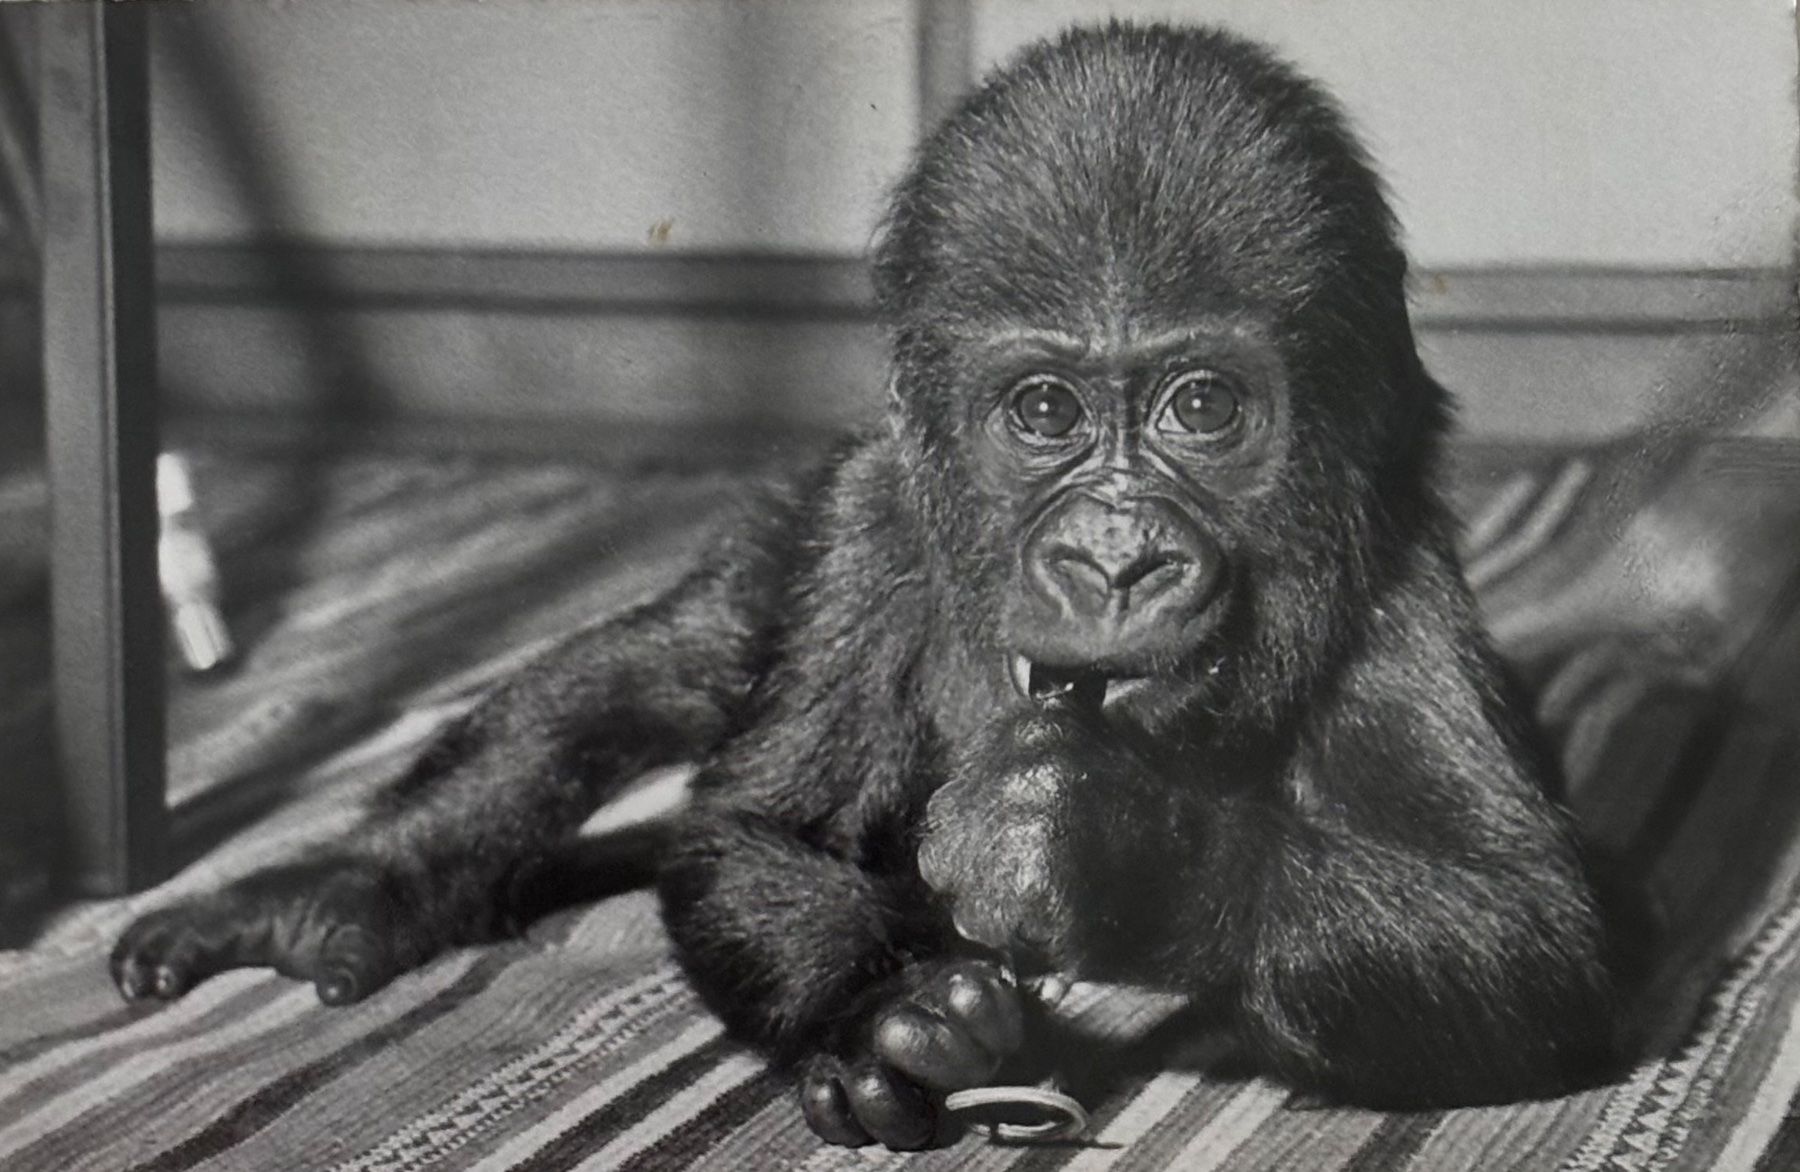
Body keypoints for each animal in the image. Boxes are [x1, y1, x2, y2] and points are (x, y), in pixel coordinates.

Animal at [112, 22, 1625, 1151]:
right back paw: (354, 883)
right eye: (1044, 411)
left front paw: (1104, 844)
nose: (1115, 556)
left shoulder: (1401, 581)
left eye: (1202, 406)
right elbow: (750, 831)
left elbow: (1531, 936)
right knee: (650, 671)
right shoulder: (869, 524)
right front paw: (892, 1022)